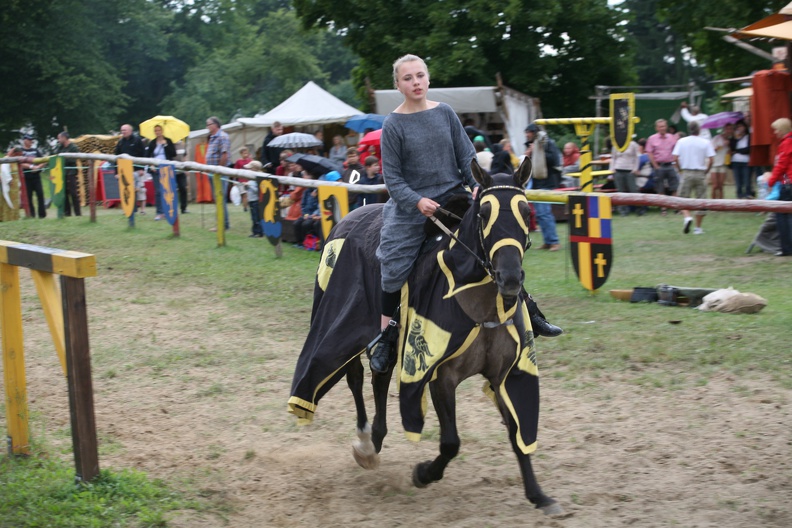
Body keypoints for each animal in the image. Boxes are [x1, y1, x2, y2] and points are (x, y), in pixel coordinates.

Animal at [288, 160, 560, 516]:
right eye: (484, 213)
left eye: (526, 211)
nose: (511, 278)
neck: (478, 302)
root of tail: (348, 217)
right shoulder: (440, 376)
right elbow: (451, 442)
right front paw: (423, 474)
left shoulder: (505, 375)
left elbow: (517, 432)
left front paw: (538, 494)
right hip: (345, 324)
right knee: (354, 376)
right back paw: (365, 441)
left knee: (379, 378)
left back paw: (376, 437)